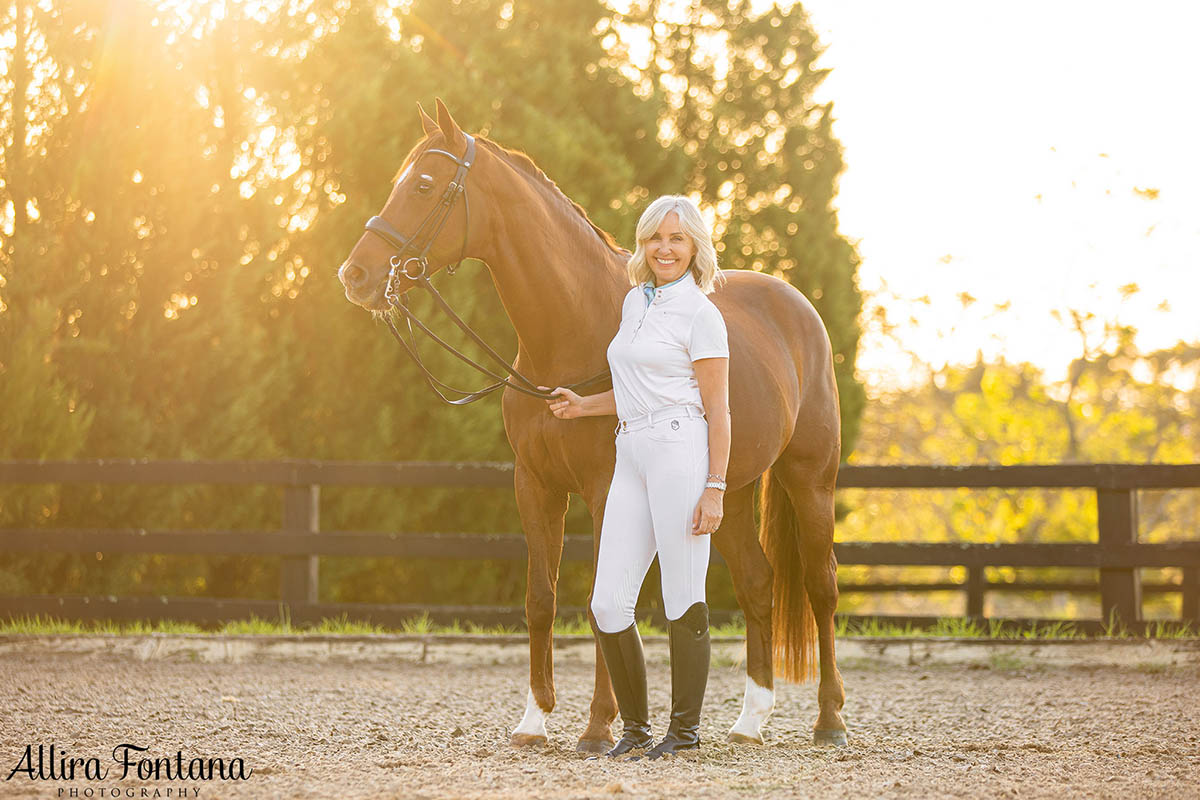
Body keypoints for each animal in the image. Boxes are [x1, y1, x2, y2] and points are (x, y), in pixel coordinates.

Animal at [333, 100, 849, 753]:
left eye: (423, 185)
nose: (355, 275)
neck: (568, 333)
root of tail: (798, 308)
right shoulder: (534, 486)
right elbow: (541, 598)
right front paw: (533, 719)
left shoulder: (606, 492)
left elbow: (605, 595)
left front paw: (600, 726)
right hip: (726, 495)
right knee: (758, 582)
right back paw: (750, 721)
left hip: (810, 479)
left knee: (820, 584)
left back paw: (829, 720)